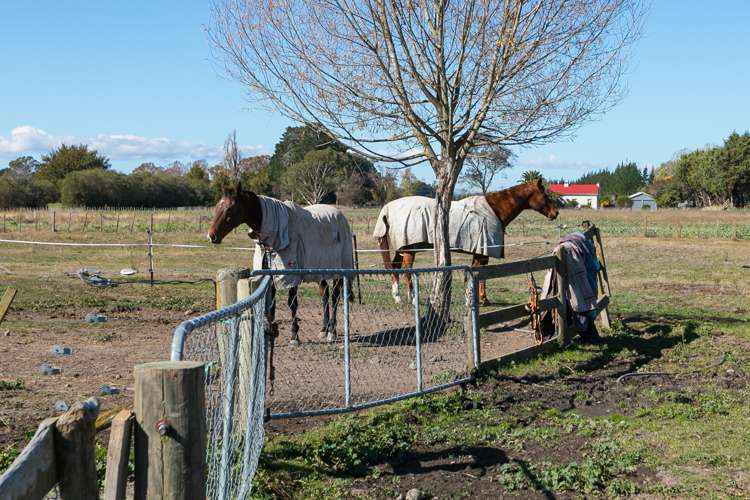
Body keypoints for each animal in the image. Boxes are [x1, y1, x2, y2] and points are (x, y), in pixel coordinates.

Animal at [207, 182, 354, 346]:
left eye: (230, 208)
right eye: (217, 207)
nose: (211, 236)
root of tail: (341, 217)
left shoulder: (291, 276)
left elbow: (292, 303)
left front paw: (294, 336)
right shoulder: (270, 276)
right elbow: (271, 305)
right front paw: (270, 333)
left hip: (339, 272)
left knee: (335, 297)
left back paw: (332, 331)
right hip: (320, 271)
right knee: (324, 294)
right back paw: (324, 329)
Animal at [374, 180, 560, 304]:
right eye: (544, 195)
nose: (556, 213)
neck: (494, 209)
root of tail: (388, 208)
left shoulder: (480, 252)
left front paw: (477, 298)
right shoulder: (482, 251)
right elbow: (480, 273)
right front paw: (479, 299)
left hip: (401, 249)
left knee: (395, 267)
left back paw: (397, 296)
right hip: (408, 249)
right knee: (406, 270)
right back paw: (412, 298)